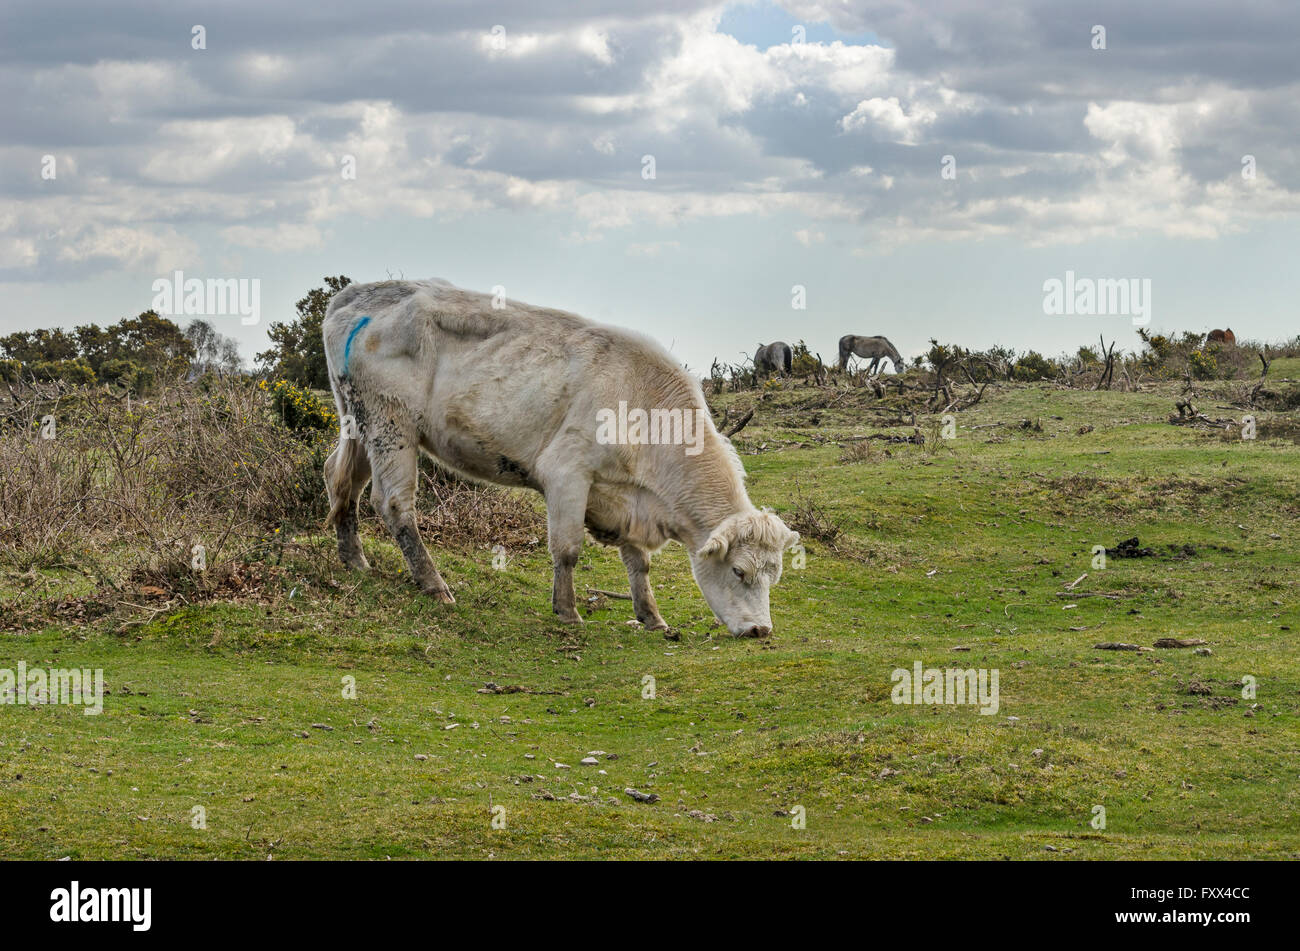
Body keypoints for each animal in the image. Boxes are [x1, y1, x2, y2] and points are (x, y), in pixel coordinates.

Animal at [319, 280, 795, 639]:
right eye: (738, 571)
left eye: (774, 576)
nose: (761, 630)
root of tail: (359, 295)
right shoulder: (568, 474)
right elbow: (567, 550)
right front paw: (567, 610)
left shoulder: (624, 499)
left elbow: (638, 563)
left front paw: (652, 616)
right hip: (391, 425)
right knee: (393, 503)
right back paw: (435, 586)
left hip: (357, 423)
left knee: (340, 479)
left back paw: (354, 560)